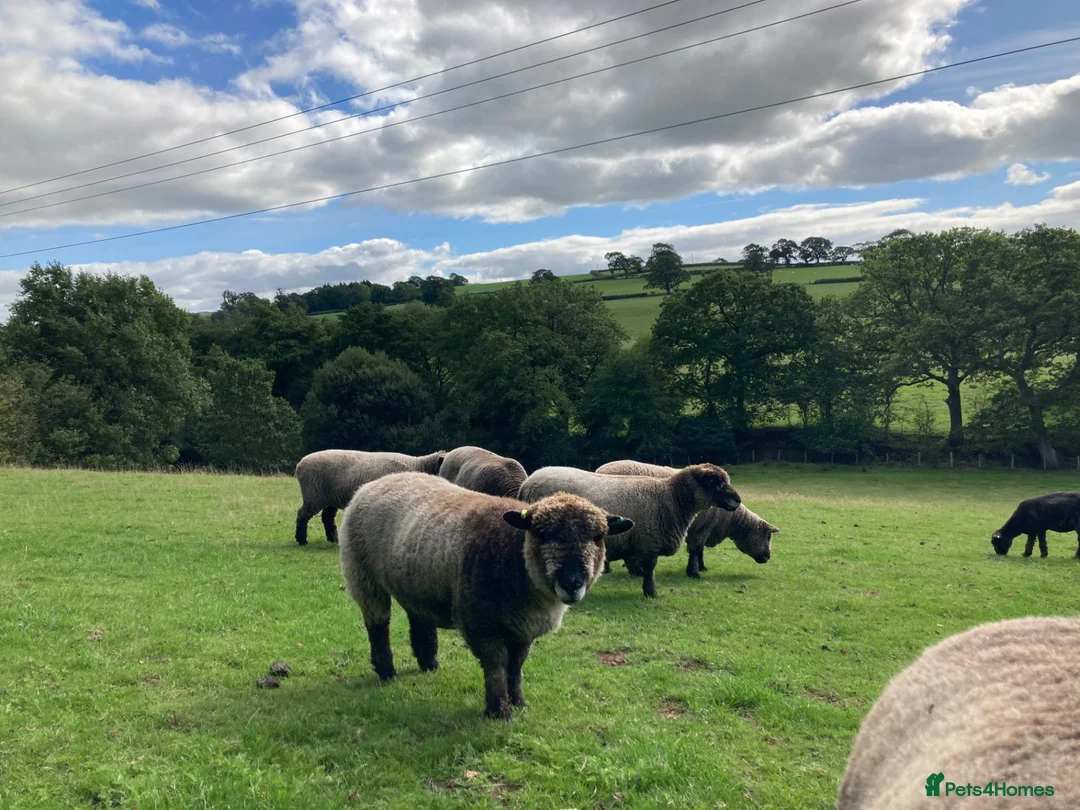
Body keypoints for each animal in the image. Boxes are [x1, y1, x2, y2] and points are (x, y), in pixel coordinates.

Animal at [294, 450, 445, 545]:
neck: (419, 466)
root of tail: (300, 464)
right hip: (313, 494)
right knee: (302, 514)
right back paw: (302, 540)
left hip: (330, 498)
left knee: (327, 517)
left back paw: (333, 539)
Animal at [338, 471, 633, 720]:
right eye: (542, 533)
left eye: (599, 536)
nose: (572, 583)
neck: (514, 555)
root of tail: (376, 482)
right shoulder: (481, 623)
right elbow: (496, 666)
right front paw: (498, 711)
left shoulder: (522, 626)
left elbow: (516, 666)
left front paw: (518, 702)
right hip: (363, 574)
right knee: (377, 624)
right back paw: (386, 671)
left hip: (417, 582)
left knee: (419, 618)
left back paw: (428, 662)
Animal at [517, 464, 741, 598]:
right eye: (714, 481)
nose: (737, 500)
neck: (671, 498)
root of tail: (527, 483)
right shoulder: (650, 541)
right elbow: (650, 569)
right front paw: (651, 592)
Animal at [596, 460, 777, 577]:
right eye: (767, 536)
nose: (767, 557)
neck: (730, 520)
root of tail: (600, 469)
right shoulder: (702, 528)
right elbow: (696, 549)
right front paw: (694, 571)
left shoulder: (700, 528)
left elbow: (700, 550)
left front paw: (701, 567)